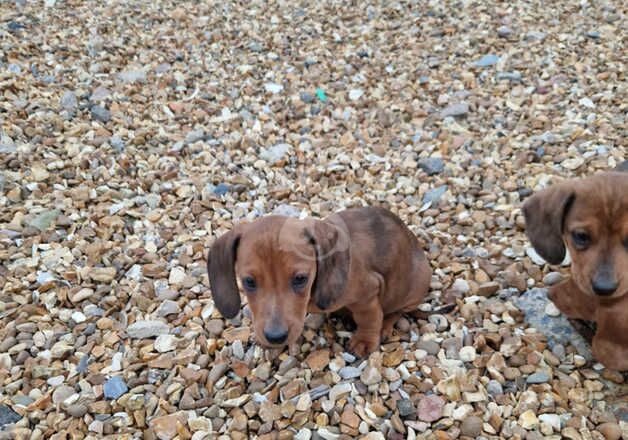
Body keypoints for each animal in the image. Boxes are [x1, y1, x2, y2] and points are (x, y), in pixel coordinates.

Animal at [206, 207, 432, 358]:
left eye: (300, 279)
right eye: (249, 282)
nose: (275, 337)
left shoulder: (368, 294)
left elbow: (369, 319)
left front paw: (365, 341)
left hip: (414, 289)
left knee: (396, 311)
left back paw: (385, 325)